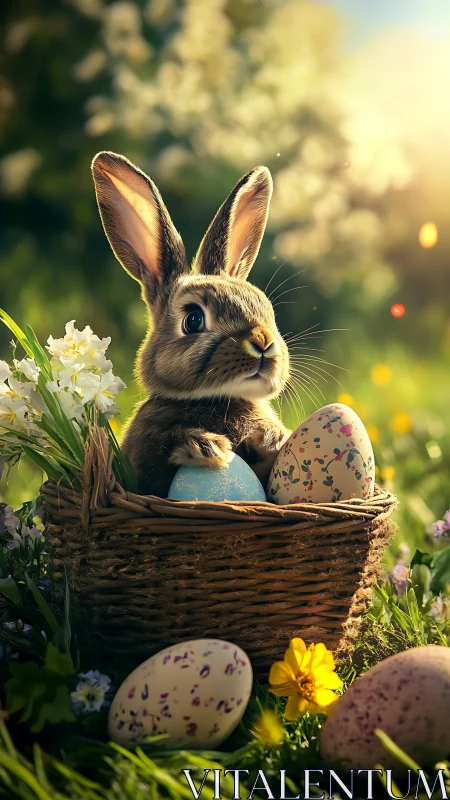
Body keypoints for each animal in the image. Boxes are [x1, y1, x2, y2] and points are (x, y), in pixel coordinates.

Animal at [91, 151, 291, 497]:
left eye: (267, 310)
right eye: (193, 319)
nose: (263, 342)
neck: (218, 399)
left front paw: (270, 439)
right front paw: (206, 447)